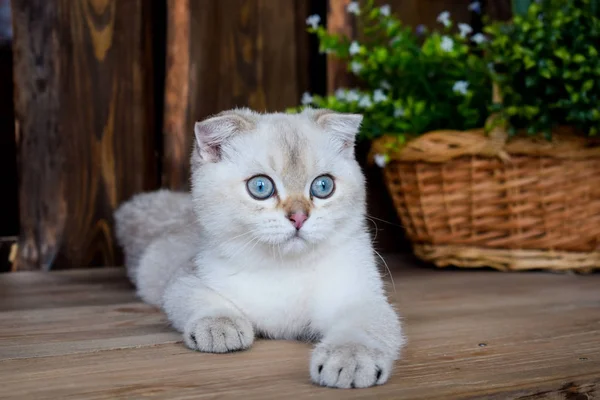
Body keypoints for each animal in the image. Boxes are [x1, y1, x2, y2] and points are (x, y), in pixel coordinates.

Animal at [115, 108, 406, 390]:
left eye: (323, 186)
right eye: (260, 187)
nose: (299, 217)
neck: (284, 267)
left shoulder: (361, 298)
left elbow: (362, 329)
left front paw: (351, 359)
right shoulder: (185, 278)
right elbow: (202, 299)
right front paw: (221, 327)